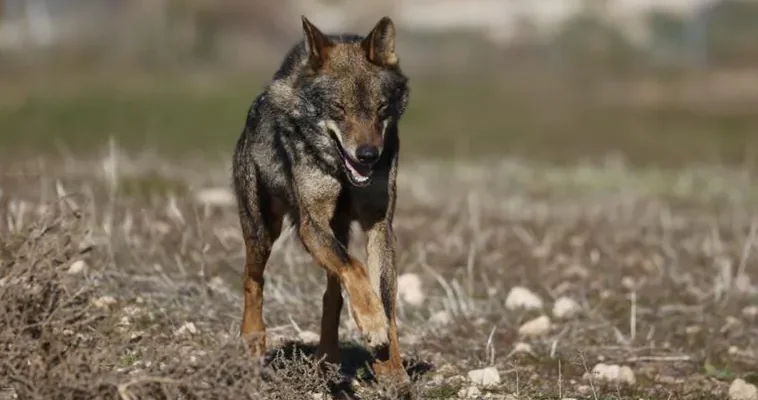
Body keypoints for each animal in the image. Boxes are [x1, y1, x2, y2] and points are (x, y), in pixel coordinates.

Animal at [233, 15, 412, 382]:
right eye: (339, 108)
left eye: (381, 108)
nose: (368, 155)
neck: (341, 173)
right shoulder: (310, 224)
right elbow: (354, 267)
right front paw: (372, 326)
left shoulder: (379, 226)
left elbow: (385, 301)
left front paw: (391, 366)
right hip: (263, 232)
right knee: (252, 281)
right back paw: (253, 342)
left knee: (333, 295)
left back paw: (327, 358)